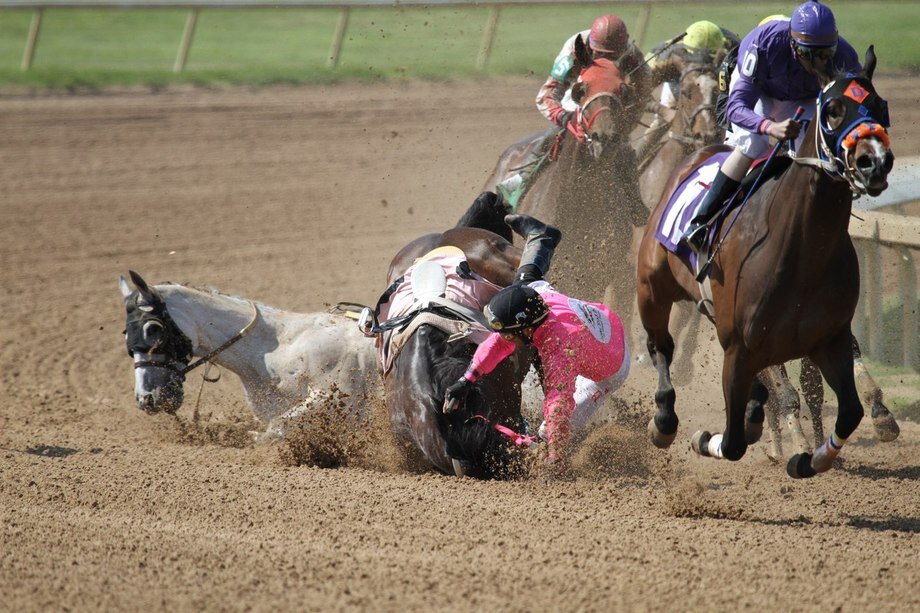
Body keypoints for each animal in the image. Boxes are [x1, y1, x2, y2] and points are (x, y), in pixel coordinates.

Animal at [636, 49, 896, 478]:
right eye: (833, 110)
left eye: (879, 105)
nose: (874, 161)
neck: (802, 251)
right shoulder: (742, 347)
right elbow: (734, 441)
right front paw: (708, 438)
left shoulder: (829, 338)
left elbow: (849, 410)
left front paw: (811, 457)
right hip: (651, 287)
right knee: (661, 347)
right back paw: (664, 421)